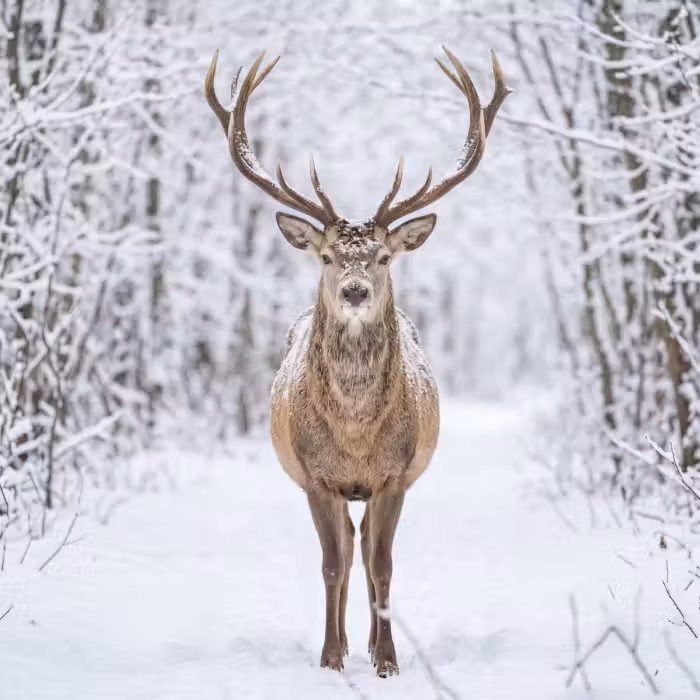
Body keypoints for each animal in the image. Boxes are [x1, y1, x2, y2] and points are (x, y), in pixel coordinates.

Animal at [204, 46, 510, 677]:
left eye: (383, 256)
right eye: (325, 256)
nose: (353, 290)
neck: (354, 435)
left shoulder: (395, 473)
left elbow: (383, 564)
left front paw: (387, 660)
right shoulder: (315, 476)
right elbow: (332, 564)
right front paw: (329, 657)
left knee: (367, 548)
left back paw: (368, 642)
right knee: (347, 551)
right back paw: (346, 642)